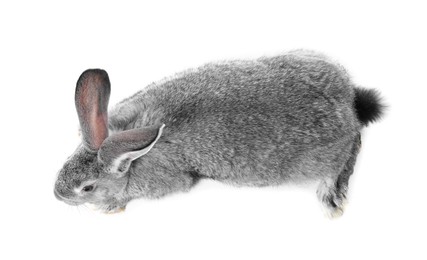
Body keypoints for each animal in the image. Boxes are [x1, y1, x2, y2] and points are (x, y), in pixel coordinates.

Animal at [53, 49, 384, 216]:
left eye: (87, 188)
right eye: (64, 166)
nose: (57, 195)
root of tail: (349, 102)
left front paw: (110, 206)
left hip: (322, 158)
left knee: (349, 151)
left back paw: (332, 196)